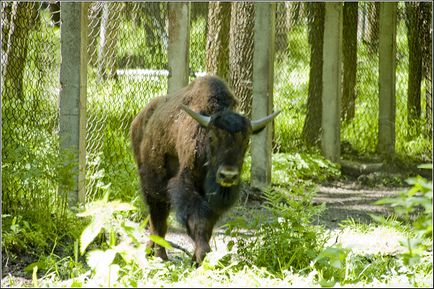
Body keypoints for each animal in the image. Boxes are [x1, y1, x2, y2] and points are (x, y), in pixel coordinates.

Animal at [131, 75, 282, 264]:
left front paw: (196, 260)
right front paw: (203, 255)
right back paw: (160, 255)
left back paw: (152, 251)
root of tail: (139, 120)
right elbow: (198, 221)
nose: (228, 175)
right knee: (158, 217)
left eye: (246, 140)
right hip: (151, 185)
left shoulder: (214, 200)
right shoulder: (187, 187)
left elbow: (208, 225)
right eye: (211, 137)